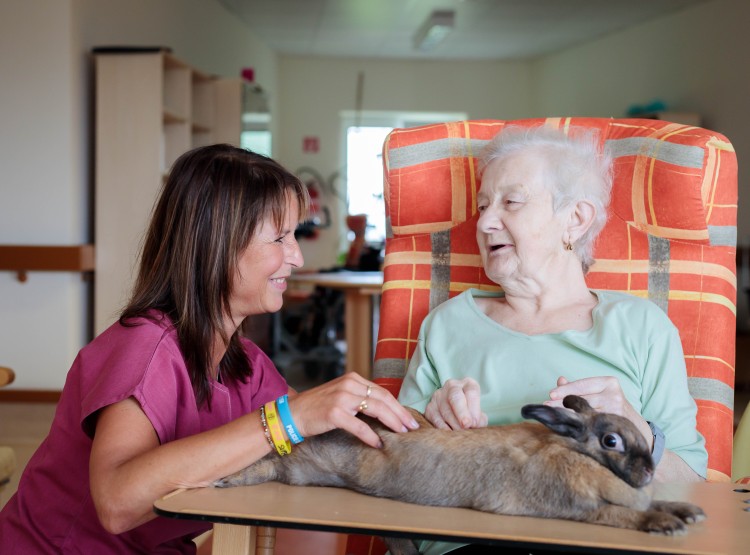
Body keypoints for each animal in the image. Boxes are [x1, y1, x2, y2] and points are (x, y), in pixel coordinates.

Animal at [216, 396, 704, 552]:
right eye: (611, 441)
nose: (648, 470)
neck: (567, 448)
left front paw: (687, 511)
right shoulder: (581, 510)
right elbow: (624, 517)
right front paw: (666, 525)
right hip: (296, 466)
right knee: (268, 465)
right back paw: (222, 481)